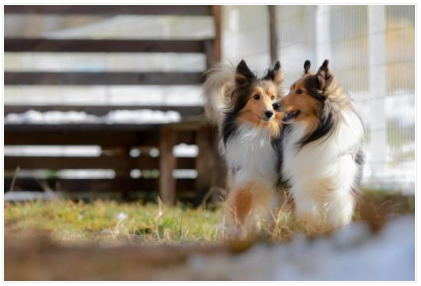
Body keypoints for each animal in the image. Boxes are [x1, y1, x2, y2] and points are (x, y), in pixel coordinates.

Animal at [203, 59, 282, 236]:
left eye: (273, 97)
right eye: (256, 96)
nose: (270, 113)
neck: (258, 133)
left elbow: (273, 217)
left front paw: (272, 235)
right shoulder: (244, 183)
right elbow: (239, 217)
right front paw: (239, 237)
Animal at [274, 59, 362, 230]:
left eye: (300, 91)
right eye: (290, 89)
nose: (274, 105)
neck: (318, 134)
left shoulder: (339, 190)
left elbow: (337, 218)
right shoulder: (305, 187)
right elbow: (310, 217)